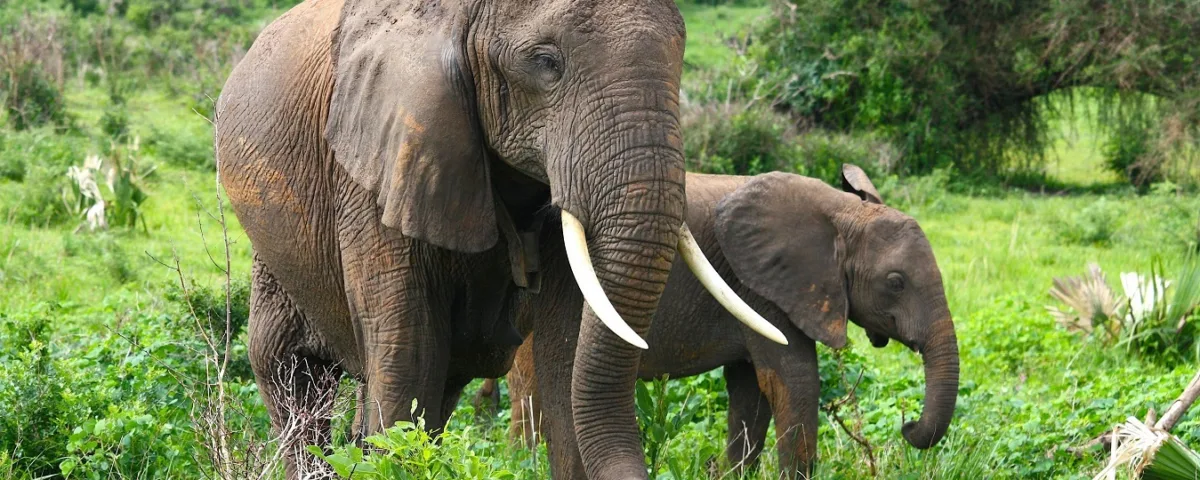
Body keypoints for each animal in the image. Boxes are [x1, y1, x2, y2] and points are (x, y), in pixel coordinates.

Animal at [482, 165, 960, 475]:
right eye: (895, 283)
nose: (908, 426)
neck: (844, 213)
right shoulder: (764, 289)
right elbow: (794, 380)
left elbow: (751, 389)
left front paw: (734, 473)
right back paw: (521, 462)